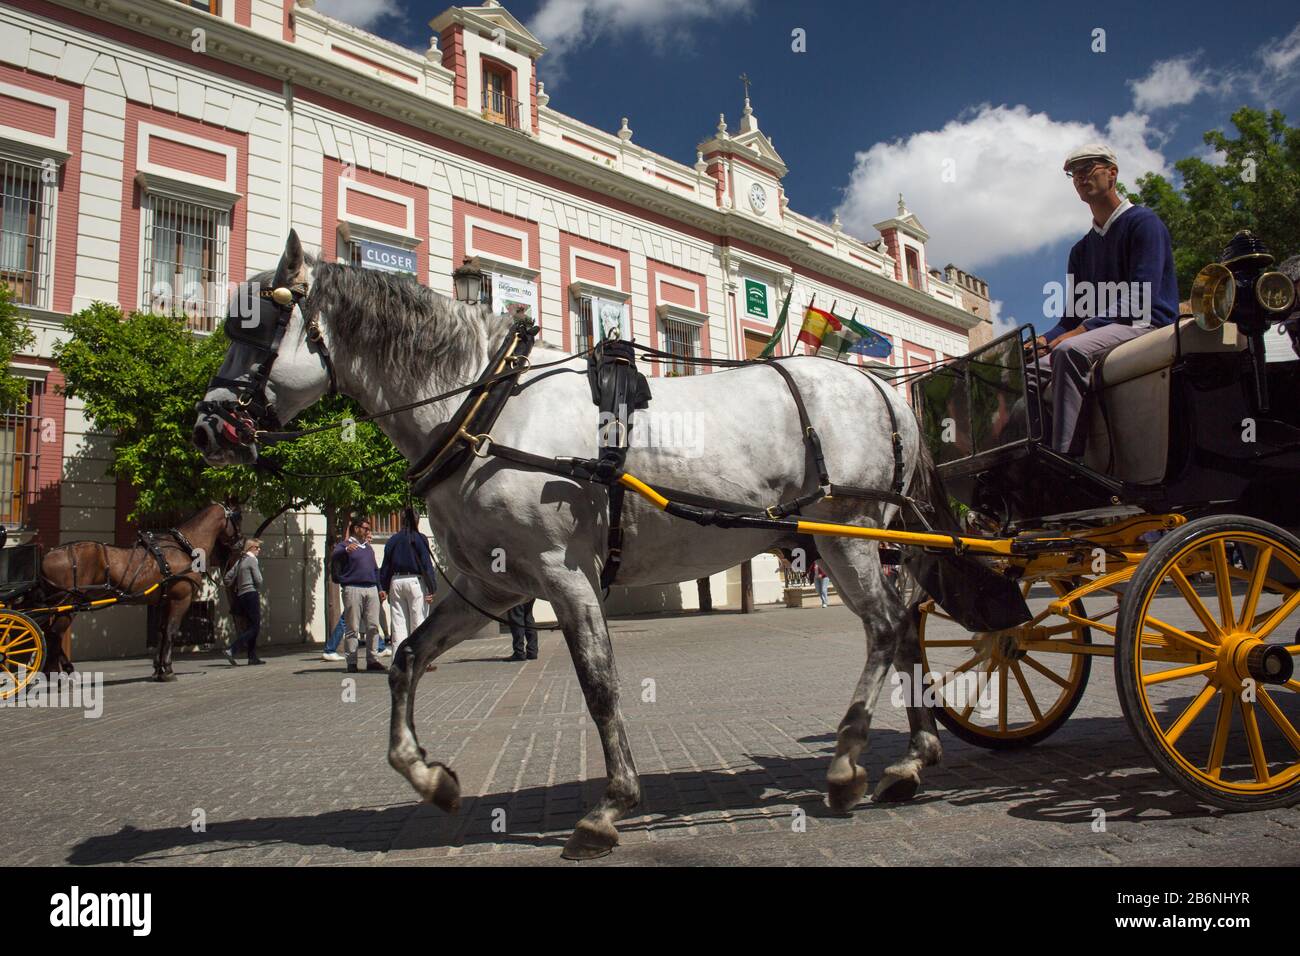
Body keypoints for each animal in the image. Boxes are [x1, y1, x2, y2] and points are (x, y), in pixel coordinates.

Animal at [34, 509, 244, 681]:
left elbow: (160, 632)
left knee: (48, 633)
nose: (241, 542)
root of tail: (46, 556)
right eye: (236, 518)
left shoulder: (162, 601)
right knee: (53, 634)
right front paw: (168, 670)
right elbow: (171, 631)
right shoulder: (180, 599)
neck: (183, 548)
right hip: (67, 604)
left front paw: (158, 669)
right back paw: (57, 673)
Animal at [197, 234, 972, 858]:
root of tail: (885, 392)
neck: (486, 408)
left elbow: (599, 683)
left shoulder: (564, 574)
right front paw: (431, 777)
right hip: (861, 540)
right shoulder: (490, 586)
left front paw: (610, 805)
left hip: (849, 534)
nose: (208, 426)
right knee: (905, 625)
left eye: (261, 324)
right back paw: (913, 759)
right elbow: (408, 661)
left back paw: (847, 762)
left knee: (885, 626)